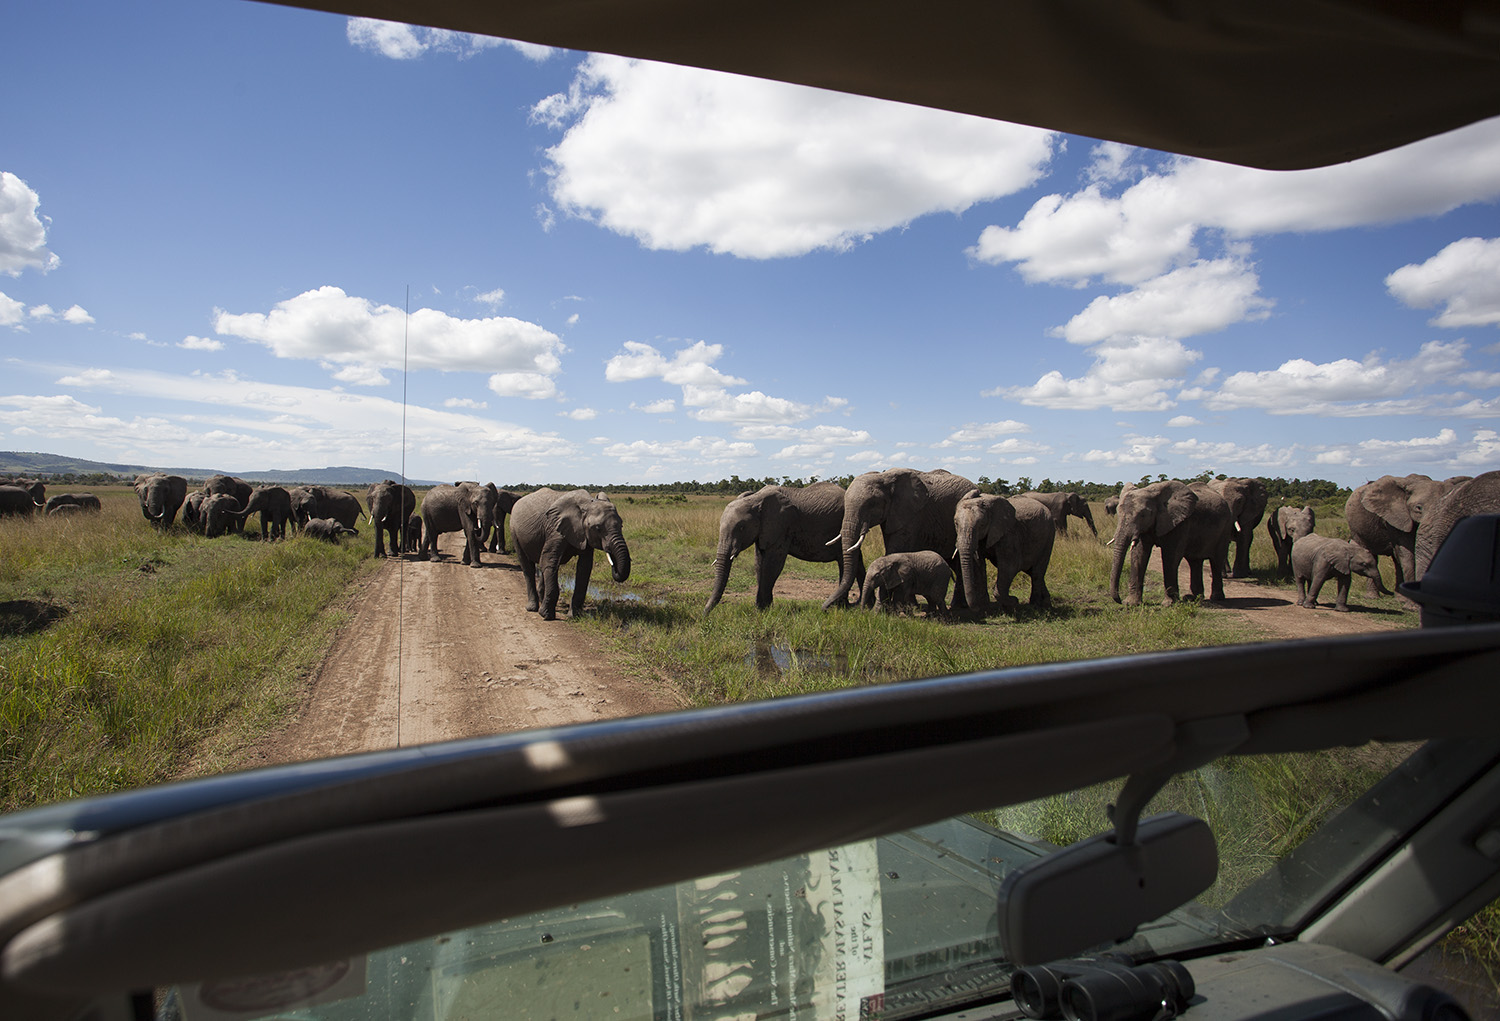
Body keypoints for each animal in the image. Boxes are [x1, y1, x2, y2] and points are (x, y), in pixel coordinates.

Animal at [516, 488, 633, 620]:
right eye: (598, 528)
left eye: (621, 525)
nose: (614, 565)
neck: (587, 505)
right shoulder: (555, 530)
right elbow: (549, 560)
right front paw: (546, 615)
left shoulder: (584, 534)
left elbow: (584, 567)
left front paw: (574, 616)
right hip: (515, 532)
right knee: (528, 568)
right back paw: (532, 608)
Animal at [702, 479, 858, 614]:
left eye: (741, 528)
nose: (704, 614)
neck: (756, 499)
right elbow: (759, 563)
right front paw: (762, 608)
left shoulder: (781, 525)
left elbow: (773, 564)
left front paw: (763, 610)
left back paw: (841, 607)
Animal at [822, 467, 972, 608]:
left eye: (871, 504)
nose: (824, 608)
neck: (884, 477)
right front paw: (905, 605)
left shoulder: (912, 515)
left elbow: (895, 550)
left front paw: (883, 607)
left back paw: (958, 605)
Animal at [1116, 476, 1230, 605]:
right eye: (1118, 513)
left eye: (1143, 515)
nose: (1119, 600)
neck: (1152, 492)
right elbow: (1139, 554)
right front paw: (1131, 603)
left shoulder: (1180, 523)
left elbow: (1170, 556)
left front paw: (1168, 604)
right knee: (1195, 561)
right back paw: (1193, 598)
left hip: (1225, 528)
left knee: (1216, 560)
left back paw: (1216, 597)